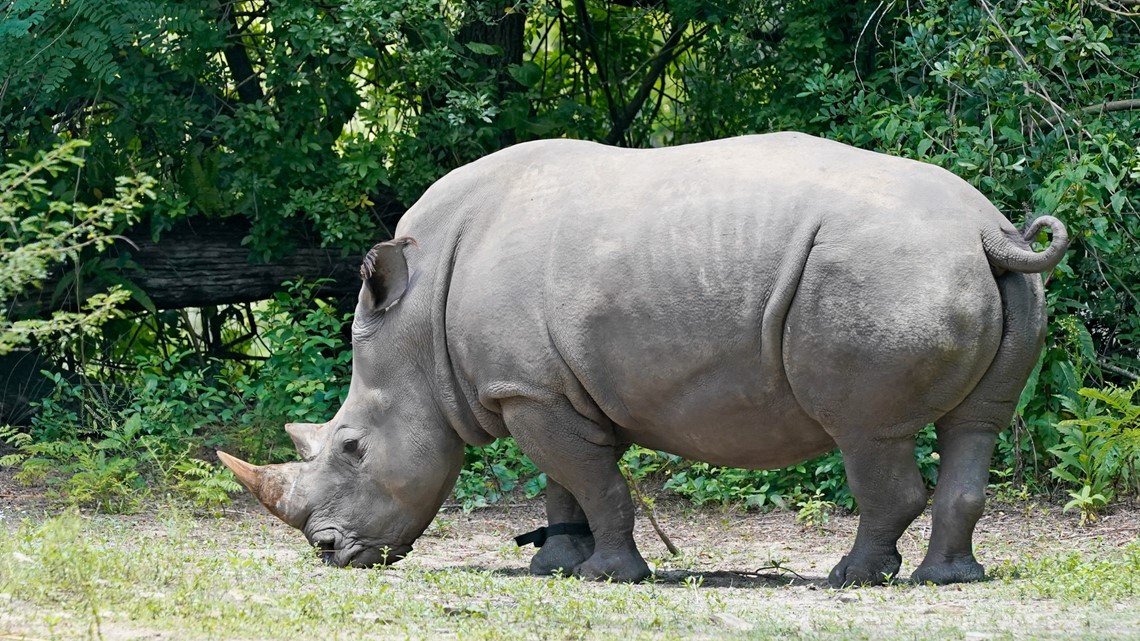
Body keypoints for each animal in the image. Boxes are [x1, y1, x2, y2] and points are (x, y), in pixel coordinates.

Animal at [218, 132, 1068, 587]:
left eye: (353, 446)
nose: (330, 552)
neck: (417, 324)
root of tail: (990, 231)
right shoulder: (536, 388)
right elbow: (563, 482)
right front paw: (556, 565)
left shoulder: (528, 391)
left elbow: (595, 481)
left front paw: (608, 575)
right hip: (980, 274)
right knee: (975, 426)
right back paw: (947, 577)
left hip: (880, 274)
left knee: (867, 433)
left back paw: (851, 576)